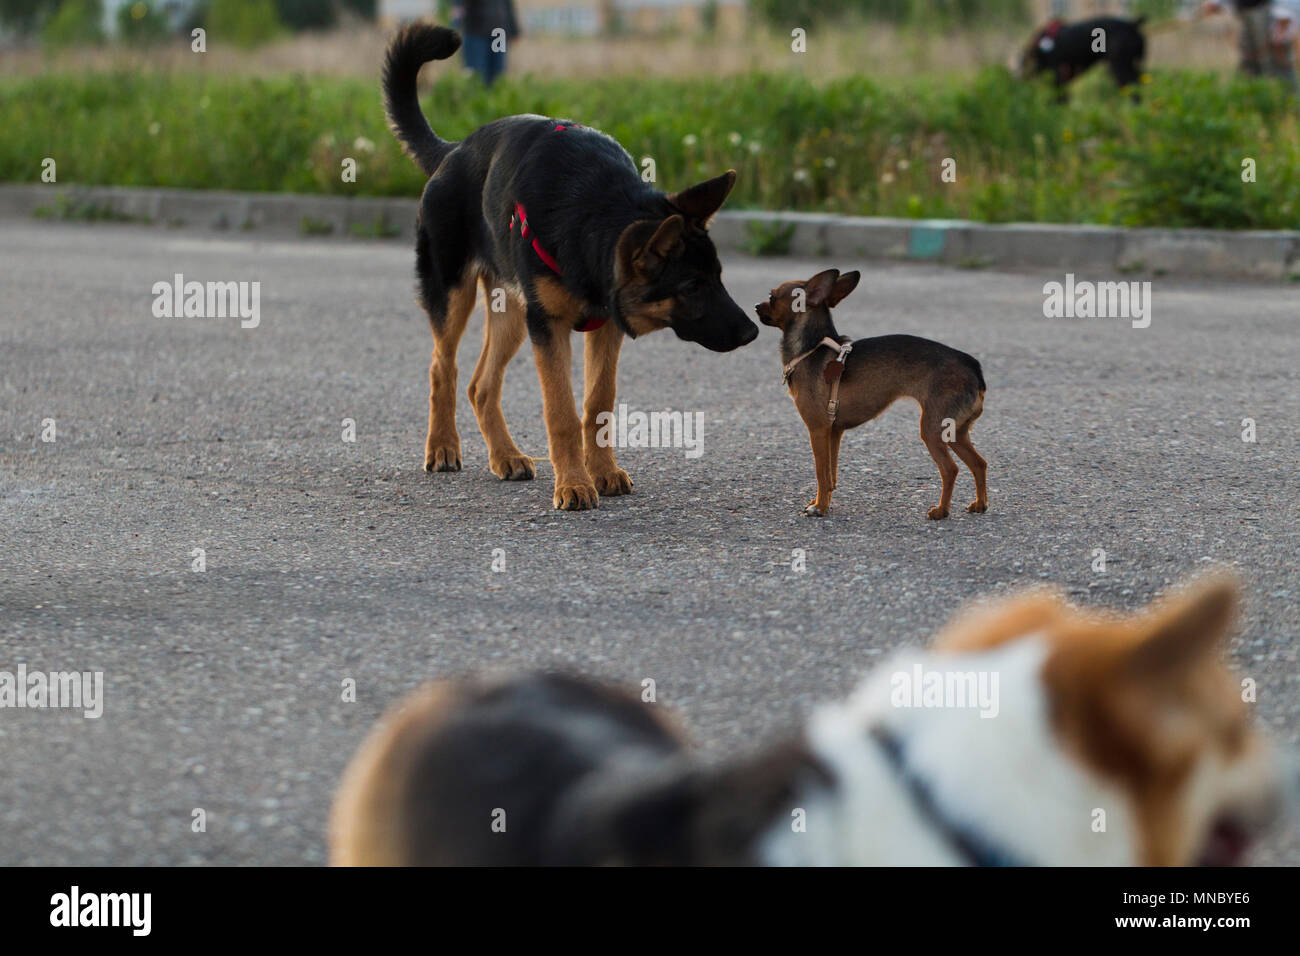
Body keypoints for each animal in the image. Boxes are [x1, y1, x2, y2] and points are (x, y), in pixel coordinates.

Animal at [379, 22, 759, 509]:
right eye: (692, 286)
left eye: (718, 278)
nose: (752, 333)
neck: (595, 213)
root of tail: (454, 150)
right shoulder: (550, 326)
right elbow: (560, 410)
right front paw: (574, 484)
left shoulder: (605, 327)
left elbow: (598, 402)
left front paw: (603, 472)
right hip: (456, 295)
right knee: (442, 368)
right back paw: (443, 446)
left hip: (513, 313)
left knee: (481, 386)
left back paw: (505, 456)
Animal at [759, 269, 987, 520]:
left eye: (771, 297)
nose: (756, 307)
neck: (810, 349)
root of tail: (973, 367)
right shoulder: (833, 432)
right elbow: (831, 474)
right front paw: (823, 501)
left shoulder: (818, 430)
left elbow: (821, 472)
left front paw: (819, 507)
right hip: (956, 432)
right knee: (979, 463)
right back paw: (980, 504)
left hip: (933, 429)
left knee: (950, 469)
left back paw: (941, 510)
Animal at [1013, 15, 1149, 98]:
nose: (1020, 80)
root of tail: (1132, 24)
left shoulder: (1058, 80)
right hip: (1136, 66)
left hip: (1120, 67)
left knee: (1133, 91)